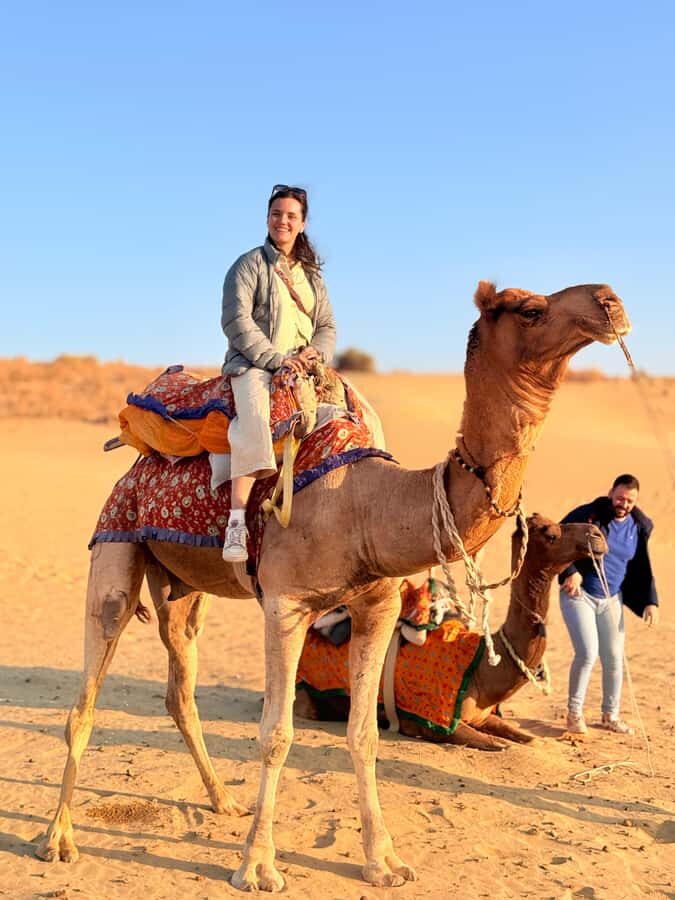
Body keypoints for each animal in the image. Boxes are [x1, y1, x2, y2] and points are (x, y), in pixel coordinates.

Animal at [295, 515, 608, 748]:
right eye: (549, 533)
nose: (597, 534)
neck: (483, 669)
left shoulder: (482, 716)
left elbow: (529, 739)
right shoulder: (433, 722)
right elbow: (497, 745)